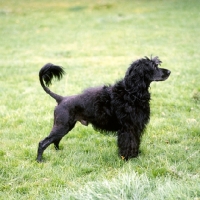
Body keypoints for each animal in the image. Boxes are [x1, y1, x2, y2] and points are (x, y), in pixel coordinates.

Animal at [36, 56, 170, 162]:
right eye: (154, 67)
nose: (169, 71)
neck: (131, 92)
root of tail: (61, 99)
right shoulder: (128, 128)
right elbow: (128, 143)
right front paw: (126, 158)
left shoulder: (135, 127)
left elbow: (135, 142)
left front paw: (135, 156)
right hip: (62, 126)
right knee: (43, 142)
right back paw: (39, 160)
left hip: (65, 126)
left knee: (55, 140)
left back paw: (59, 152)